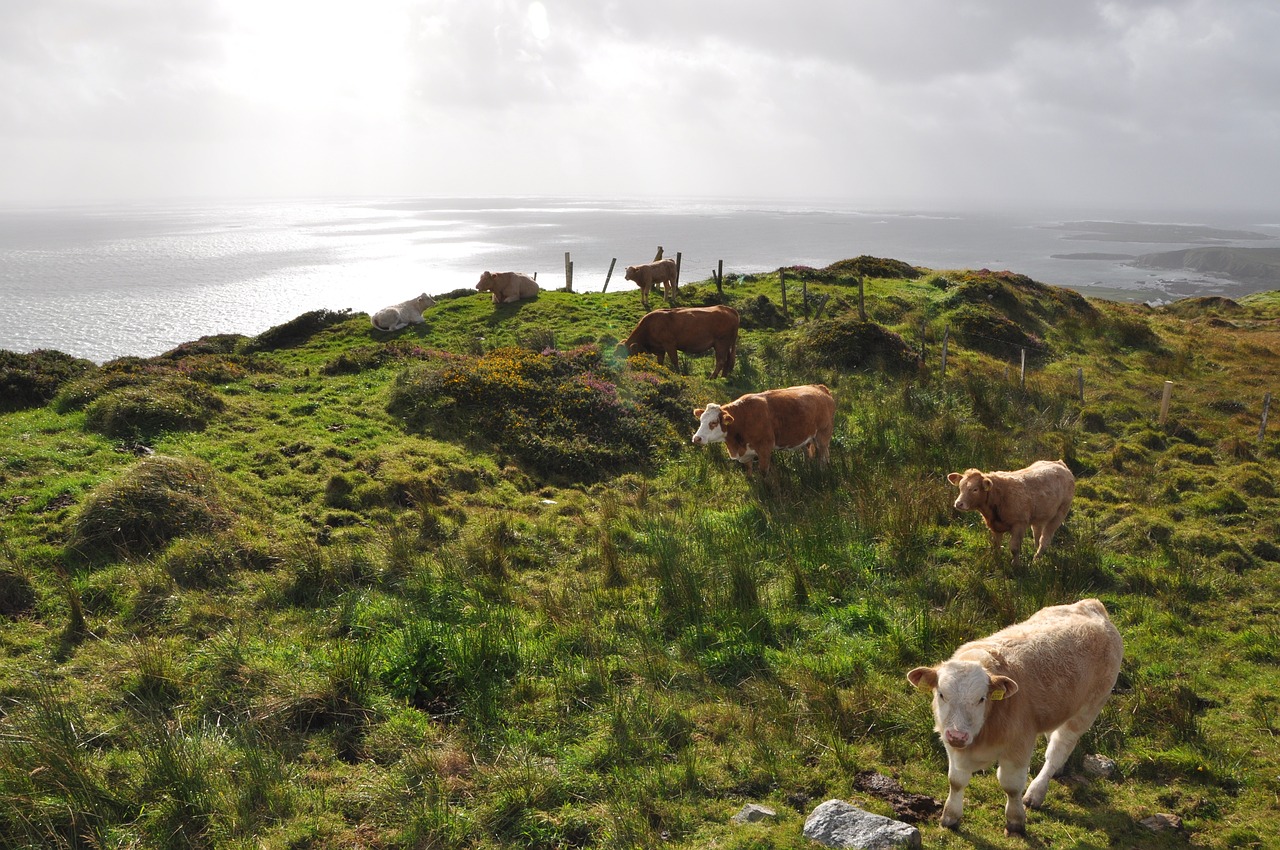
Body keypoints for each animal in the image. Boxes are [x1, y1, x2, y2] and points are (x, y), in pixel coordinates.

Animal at [696, 384, 834, 473]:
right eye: (701, 420)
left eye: (713, 422)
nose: (696, 438)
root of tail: (819, 388)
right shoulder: (747, 454)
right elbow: (749, 472)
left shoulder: (764, 449)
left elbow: (763, 474)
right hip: (807, 438)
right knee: (808, 454)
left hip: (822, 437)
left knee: (824, 457)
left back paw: (822, 472)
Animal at [906, 596, 1126, 834]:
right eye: (941, 694)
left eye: (981, 699)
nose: (958, 736)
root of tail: (1091, 605)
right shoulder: (952, 745)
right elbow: (956, 780)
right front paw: (950, 817)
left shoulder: (1019, 744)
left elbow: (1011, 786)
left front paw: (1015, 821)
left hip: (1088, 710)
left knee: (1057, 750)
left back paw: (1037, 791)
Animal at [947, 458, 1075, 563]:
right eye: (960, 487)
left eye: (975, 489)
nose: (958, 503)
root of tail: (1059, 463)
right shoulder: (995, 526)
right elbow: (996, 545)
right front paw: (998, 561)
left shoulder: (1019, 524)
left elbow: (1014, 548)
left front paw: (1016, 566)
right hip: (1039, 515)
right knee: (1037, 533)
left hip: (1060, 513)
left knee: (1045, 539)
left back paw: (1036, 560)